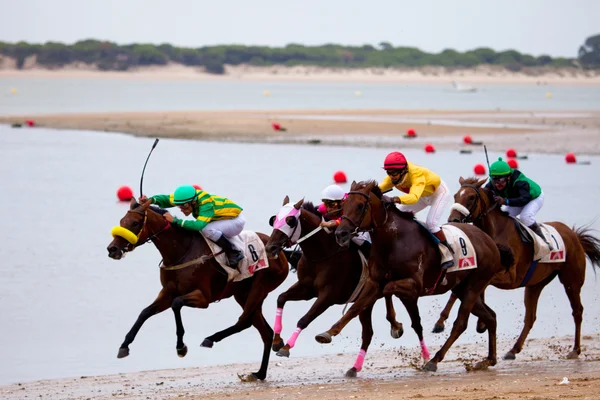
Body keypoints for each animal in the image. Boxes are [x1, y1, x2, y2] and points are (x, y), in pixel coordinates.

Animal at [107, 200, 288, 382]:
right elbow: (145, 312)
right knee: (265, 332)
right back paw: (260, 373)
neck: (181, 251)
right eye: (122, 221)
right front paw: (124, 346)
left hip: (259, 287)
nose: (112, 249)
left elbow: (177, 304)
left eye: (135, 223)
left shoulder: (203, 298)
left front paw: (181, 347)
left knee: (244, 321)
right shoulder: (167, 293)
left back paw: (210, 339)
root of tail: (280, 252)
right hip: (243, 294)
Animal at [264, 197, 414, 378]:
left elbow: (305, 318)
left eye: (290, 221)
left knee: (371, 328)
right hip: (366, 302)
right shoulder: (306, 289)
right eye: (274, 220)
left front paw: (286, 347)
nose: (270, 248)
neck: (323, 254)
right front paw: (277, 341)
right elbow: (281, 298)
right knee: (368, 332)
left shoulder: (328, 296)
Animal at [312, 181, 512, 372]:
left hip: (475, 284)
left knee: (460, 323)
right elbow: (356, 306)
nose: (341, 233)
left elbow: (386, 289)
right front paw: (329, 332)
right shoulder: (374, 280)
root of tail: (490, 241)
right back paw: (489, 360)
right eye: (344, 205)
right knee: (490, 316)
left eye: (360, 206)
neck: (394, 240)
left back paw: (434, 361)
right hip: (463, 287)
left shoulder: (414, 285)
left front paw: (395, 324)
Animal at [442, 178, 600, 360]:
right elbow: (467, 290)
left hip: (571, 281)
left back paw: (575, 349)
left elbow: (471, 288)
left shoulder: (510, 277)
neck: (496, 230)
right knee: (530, 317)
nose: (453, 220)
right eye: (456, 195)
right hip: (535, 284)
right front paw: (468, 321)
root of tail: (574, 235)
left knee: (577, 311)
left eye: (471, 197)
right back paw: (513, 349)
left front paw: (451, 321)